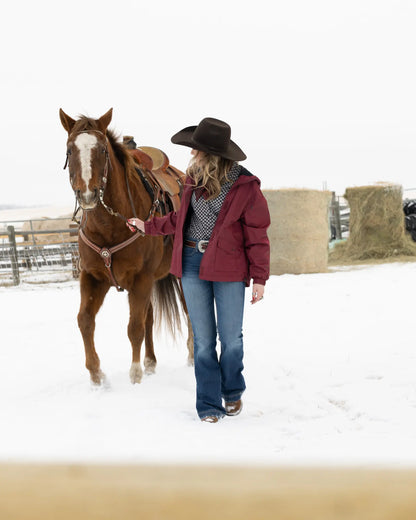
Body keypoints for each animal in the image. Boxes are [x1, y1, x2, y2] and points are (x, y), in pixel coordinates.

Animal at [59, 108, 193, 385]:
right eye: (69, 150)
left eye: (102, 150)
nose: (87, 194)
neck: (109, 226)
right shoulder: (93, 277)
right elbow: (85, 320)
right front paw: (97, 375)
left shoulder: (141, 278)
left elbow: (134, 327)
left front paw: (135, 374)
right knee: (149, 317)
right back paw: (151, 362)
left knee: (188, 312)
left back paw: (191, 356)